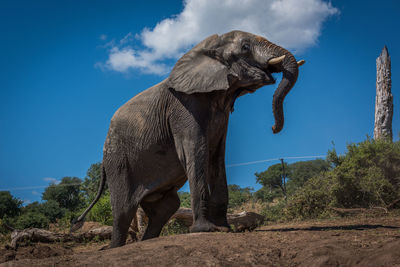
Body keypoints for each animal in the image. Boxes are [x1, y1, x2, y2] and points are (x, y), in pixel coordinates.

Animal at [71, 30, 304, 248]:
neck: (205, 49)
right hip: (117, 161)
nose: (273, 128)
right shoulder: (183, 108)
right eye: (245, 47)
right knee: (123, 210)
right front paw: (206, 230)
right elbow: (195, 150)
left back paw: (147, 241)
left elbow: (217, 156)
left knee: (166, 207)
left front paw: (224, 229)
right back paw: (116, 246)